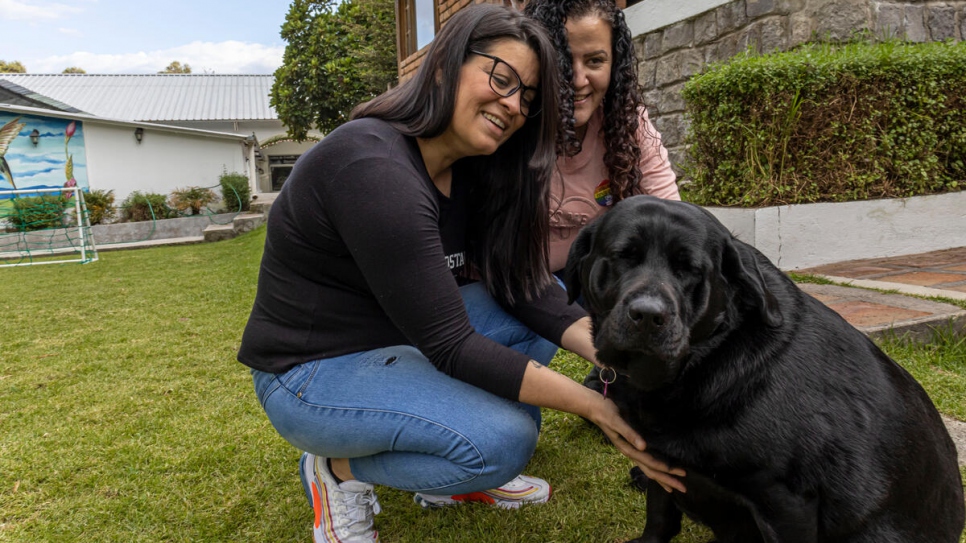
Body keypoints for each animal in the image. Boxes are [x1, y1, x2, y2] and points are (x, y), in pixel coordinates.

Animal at [564, 197, 964, 543]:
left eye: (690, 270)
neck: (708, 357)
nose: (648, 315)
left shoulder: (787, 502)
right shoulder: (660, 465)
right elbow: (660, 513)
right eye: (623, 256)